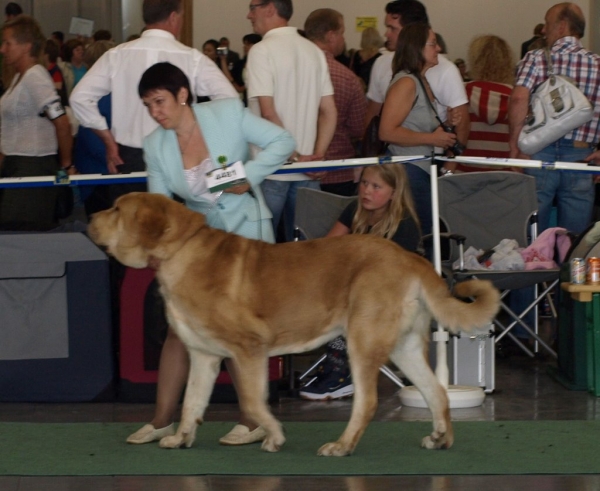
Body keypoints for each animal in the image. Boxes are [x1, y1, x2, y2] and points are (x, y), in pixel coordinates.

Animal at [90, 192, 502, 458]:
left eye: (116, 208)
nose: (91, 219)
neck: (180, 250)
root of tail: (411, 258)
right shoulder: (204, 356)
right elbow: (191, 402)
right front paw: (180, 438)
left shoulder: (249, 349)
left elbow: (253, 401)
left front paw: (273, 436)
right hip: (404, 348)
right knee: (437, 393)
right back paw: (439, 438)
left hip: (363, 341)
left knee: (368, 401)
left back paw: (342, 446)